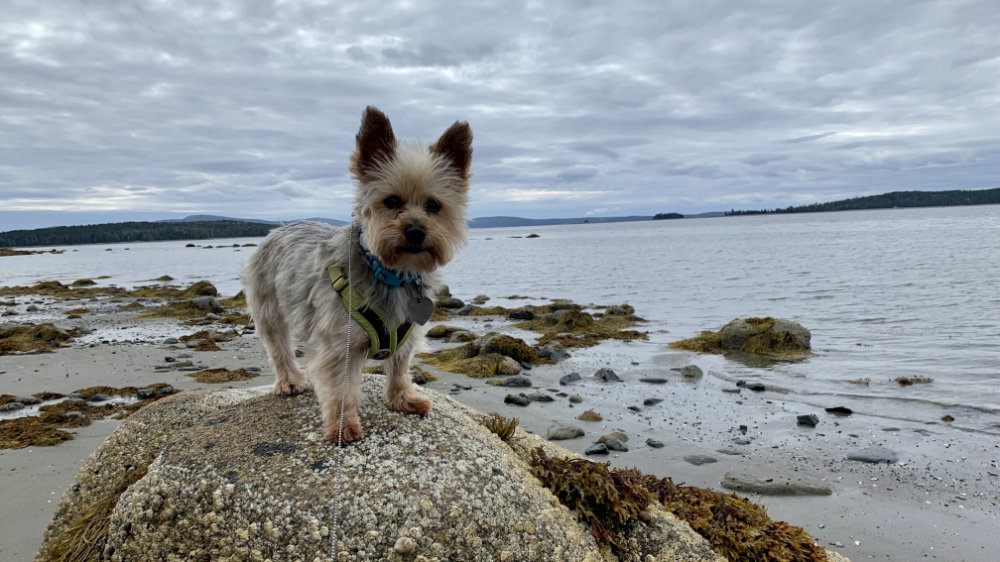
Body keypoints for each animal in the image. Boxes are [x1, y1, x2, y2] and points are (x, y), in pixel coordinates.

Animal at [244, 107, 474, 442]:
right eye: (392, 202)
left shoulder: (407, 333)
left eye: (434, 206)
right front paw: (343, 425)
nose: (416, 232)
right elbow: (341, 390)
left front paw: (403, 399)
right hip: (269, 307)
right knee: (278, 347)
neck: (391, 272)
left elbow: (400, 368)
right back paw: (290, 382)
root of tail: (279, 228)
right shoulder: (340, 344)